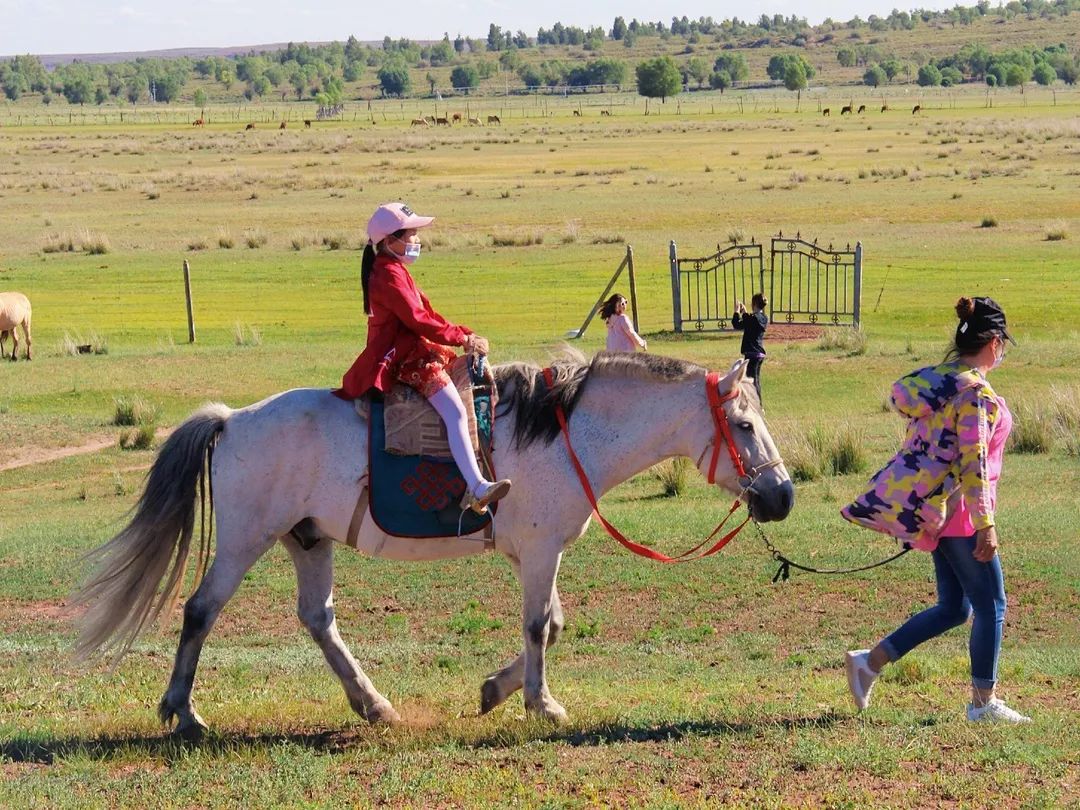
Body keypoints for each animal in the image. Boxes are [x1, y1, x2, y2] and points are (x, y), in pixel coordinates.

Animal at [71, 352, 790, 738]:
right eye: (744, 424)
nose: (782, 495)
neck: (565, 434)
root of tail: (234, 419)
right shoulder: (541, 552)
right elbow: (539, 626)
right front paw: (540, 702)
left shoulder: (537, 554)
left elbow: (553, 624)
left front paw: (495, 690)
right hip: (247, 540)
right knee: (200, 610)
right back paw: (183, 711)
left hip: (307, 540)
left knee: (317, 619)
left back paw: (374, 704)